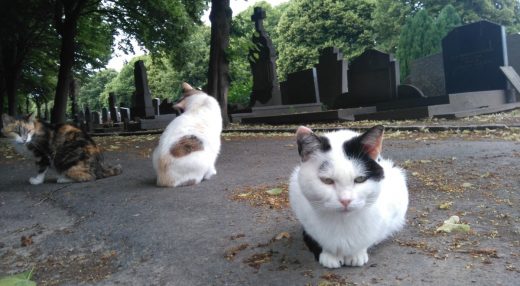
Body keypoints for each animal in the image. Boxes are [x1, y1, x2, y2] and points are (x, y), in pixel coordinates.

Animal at [290, 124, 408, 268]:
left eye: (360, 179)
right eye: (327, 180)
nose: (345, 200)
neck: (343, 223)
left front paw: (357, 254)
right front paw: (329, 255)